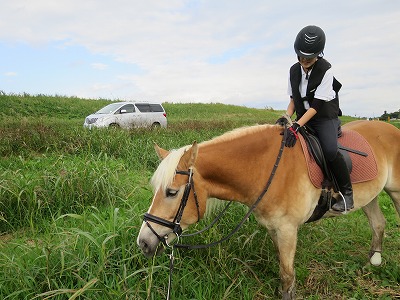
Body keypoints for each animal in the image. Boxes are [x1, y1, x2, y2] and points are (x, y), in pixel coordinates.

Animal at [137, 120, 400, 300]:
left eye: (171, 192)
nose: (144, 242)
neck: (266, 169)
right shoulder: (274, 229)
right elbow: (283, 268)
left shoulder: (287, 229)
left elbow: (287, 273)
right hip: (370, 197)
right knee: (378, 223)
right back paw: (373, 261)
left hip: (395, 193)